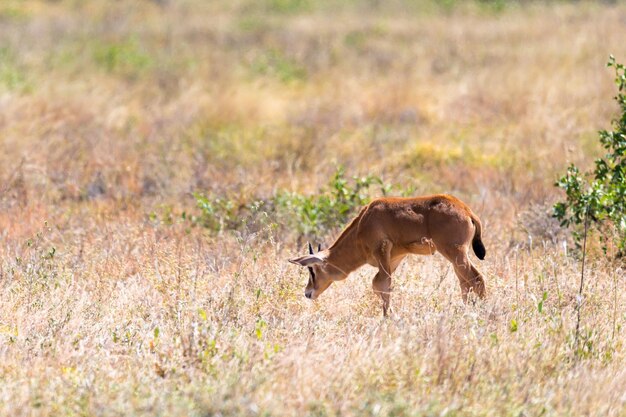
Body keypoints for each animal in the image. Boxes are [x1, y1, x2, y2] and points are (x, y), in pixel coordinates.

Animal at [286, 195, 486, 316]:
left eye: (312, 270)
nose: (307, 293)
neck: (364, 220)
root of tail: (466, 210)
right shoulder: (394, 259)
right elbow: (380, 285)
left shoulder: (381, 252)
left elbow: (382, 285)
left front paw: (387, 318)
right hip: (456, 258)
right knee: (465, 283)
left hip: (455, 253)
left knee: (476, 279)